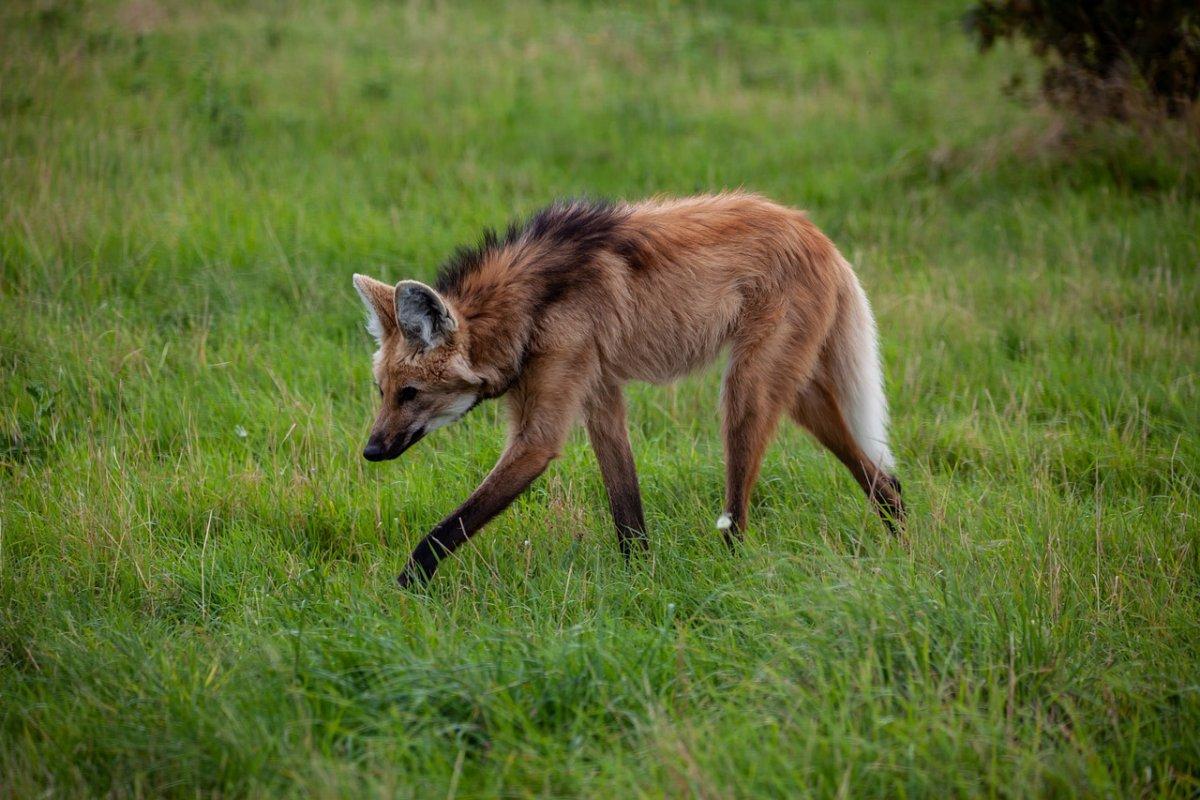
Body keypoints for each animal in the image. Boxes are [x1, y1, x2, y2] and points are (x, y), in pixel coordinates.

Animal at [350, 190, 902, 585]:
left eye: (411, 393)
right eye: (382, 391)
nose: (371, 451)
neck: (528, 308)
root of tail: (816, 233)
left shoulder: (541, 432)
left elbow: (446, 529)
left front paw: (402, 594)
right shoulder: (599, 392)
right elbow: (626, 509)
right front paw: (640, 579)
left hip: (746, 391)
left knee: (740, 513)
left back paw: (731, 573)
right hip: (798, 391)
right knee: (883, 477)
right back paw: (903, 545)